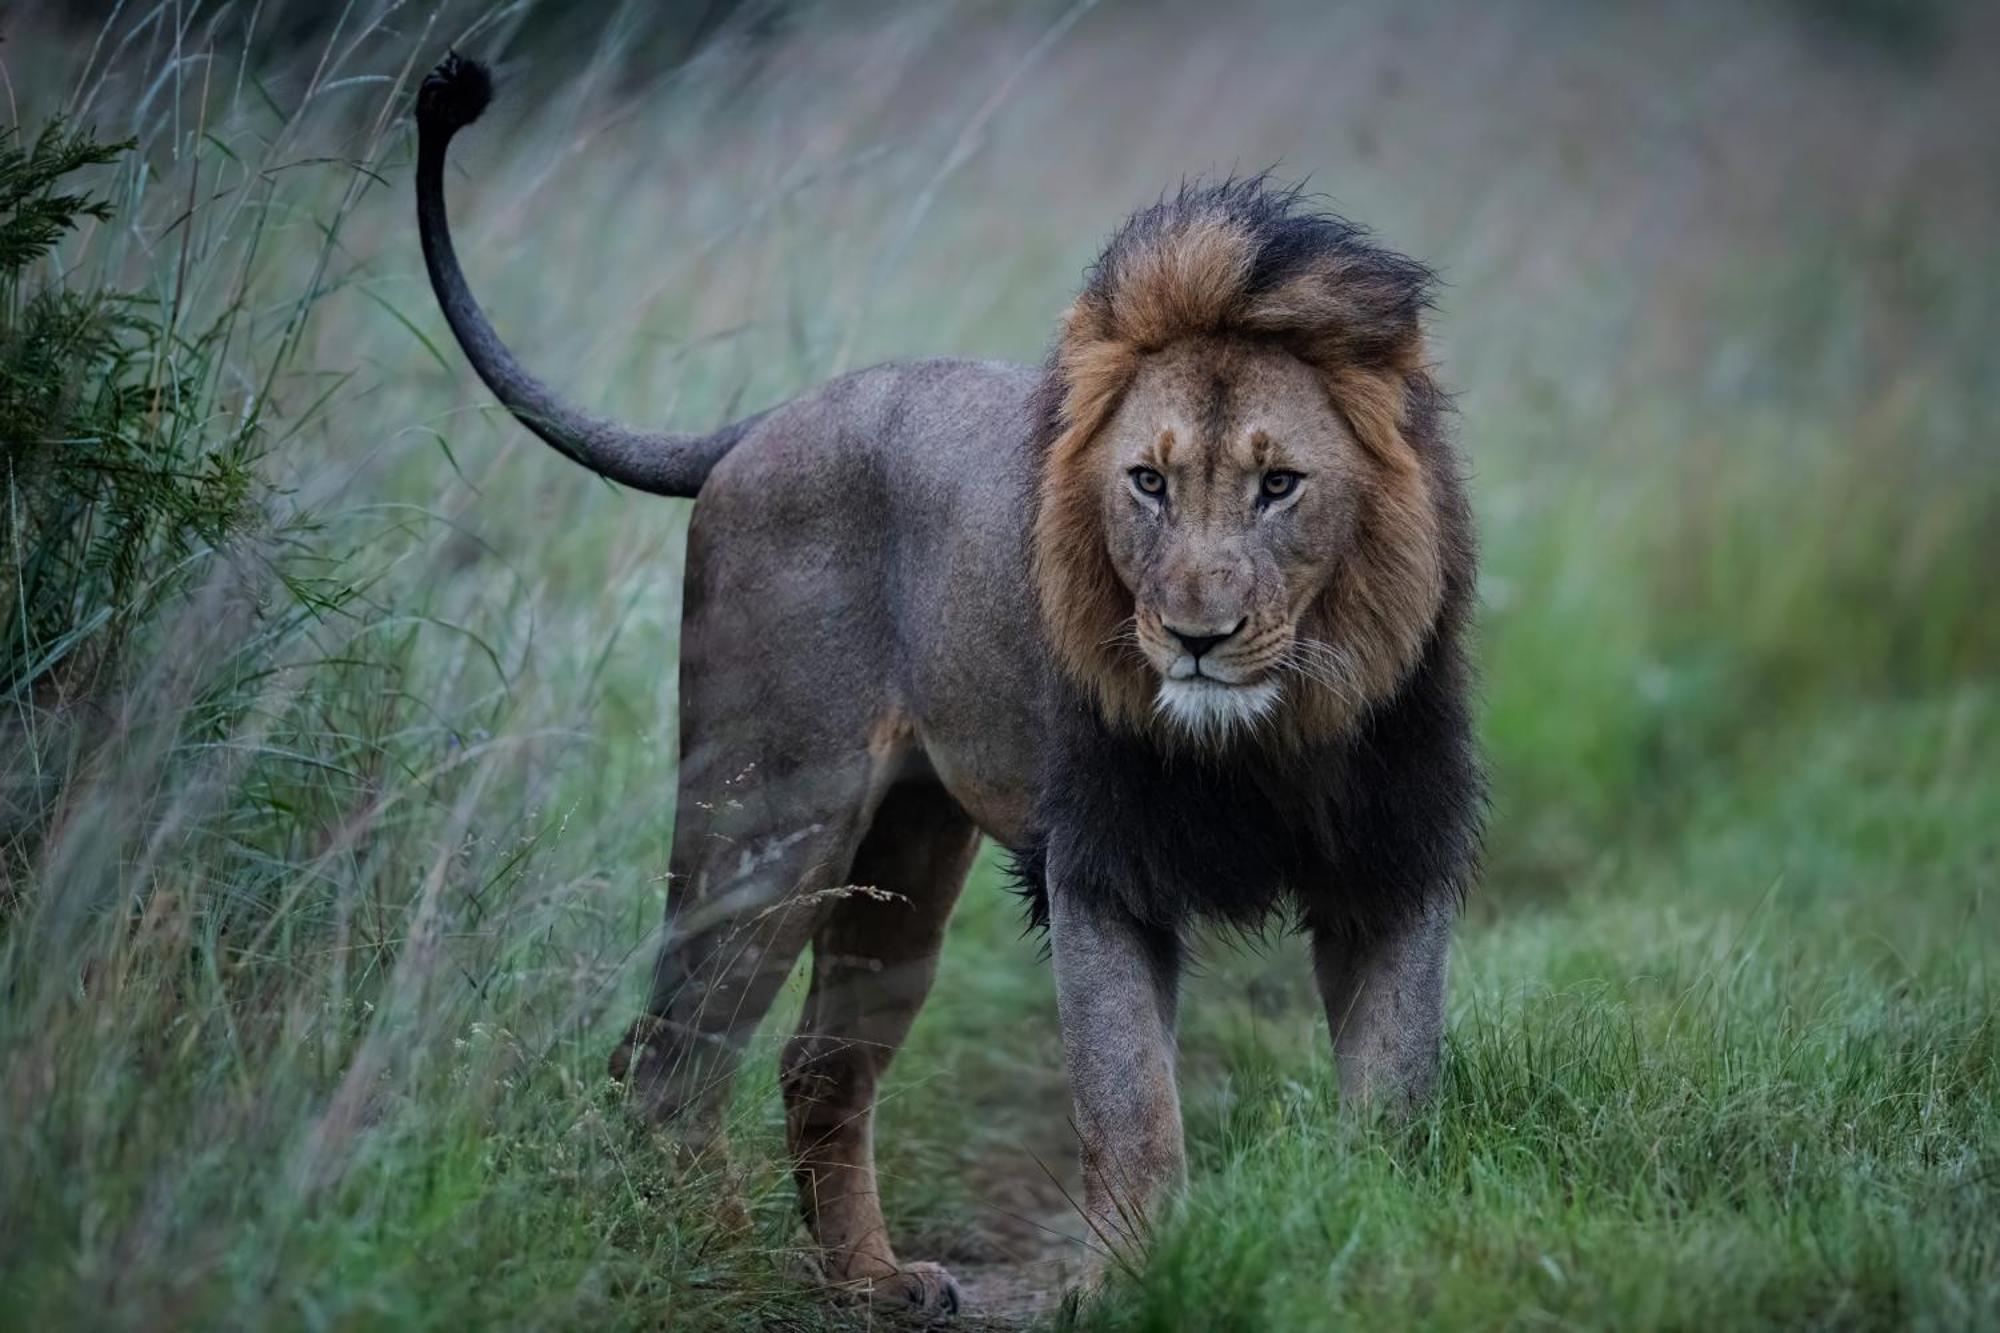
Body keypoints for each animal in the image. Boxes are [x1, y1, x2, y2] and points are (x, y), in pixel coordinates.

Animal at [414, 54, 1480, 1320]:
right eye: (1146, 482)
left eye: (1278, 485)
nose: (1194, 636)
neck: (1264, 732)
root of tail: (763, 421)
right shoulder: (1103, 870)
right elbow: (1131, 1111)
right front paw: (1125, 1284)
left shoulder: (1389, 866)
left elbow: (1395, 1104)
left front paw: (1374, 1255)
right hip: (768, 815)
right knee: (670, 1053)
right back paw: (710, 1252)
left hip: (907, 844)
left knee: (814, 1057)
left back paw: (872, 1278)